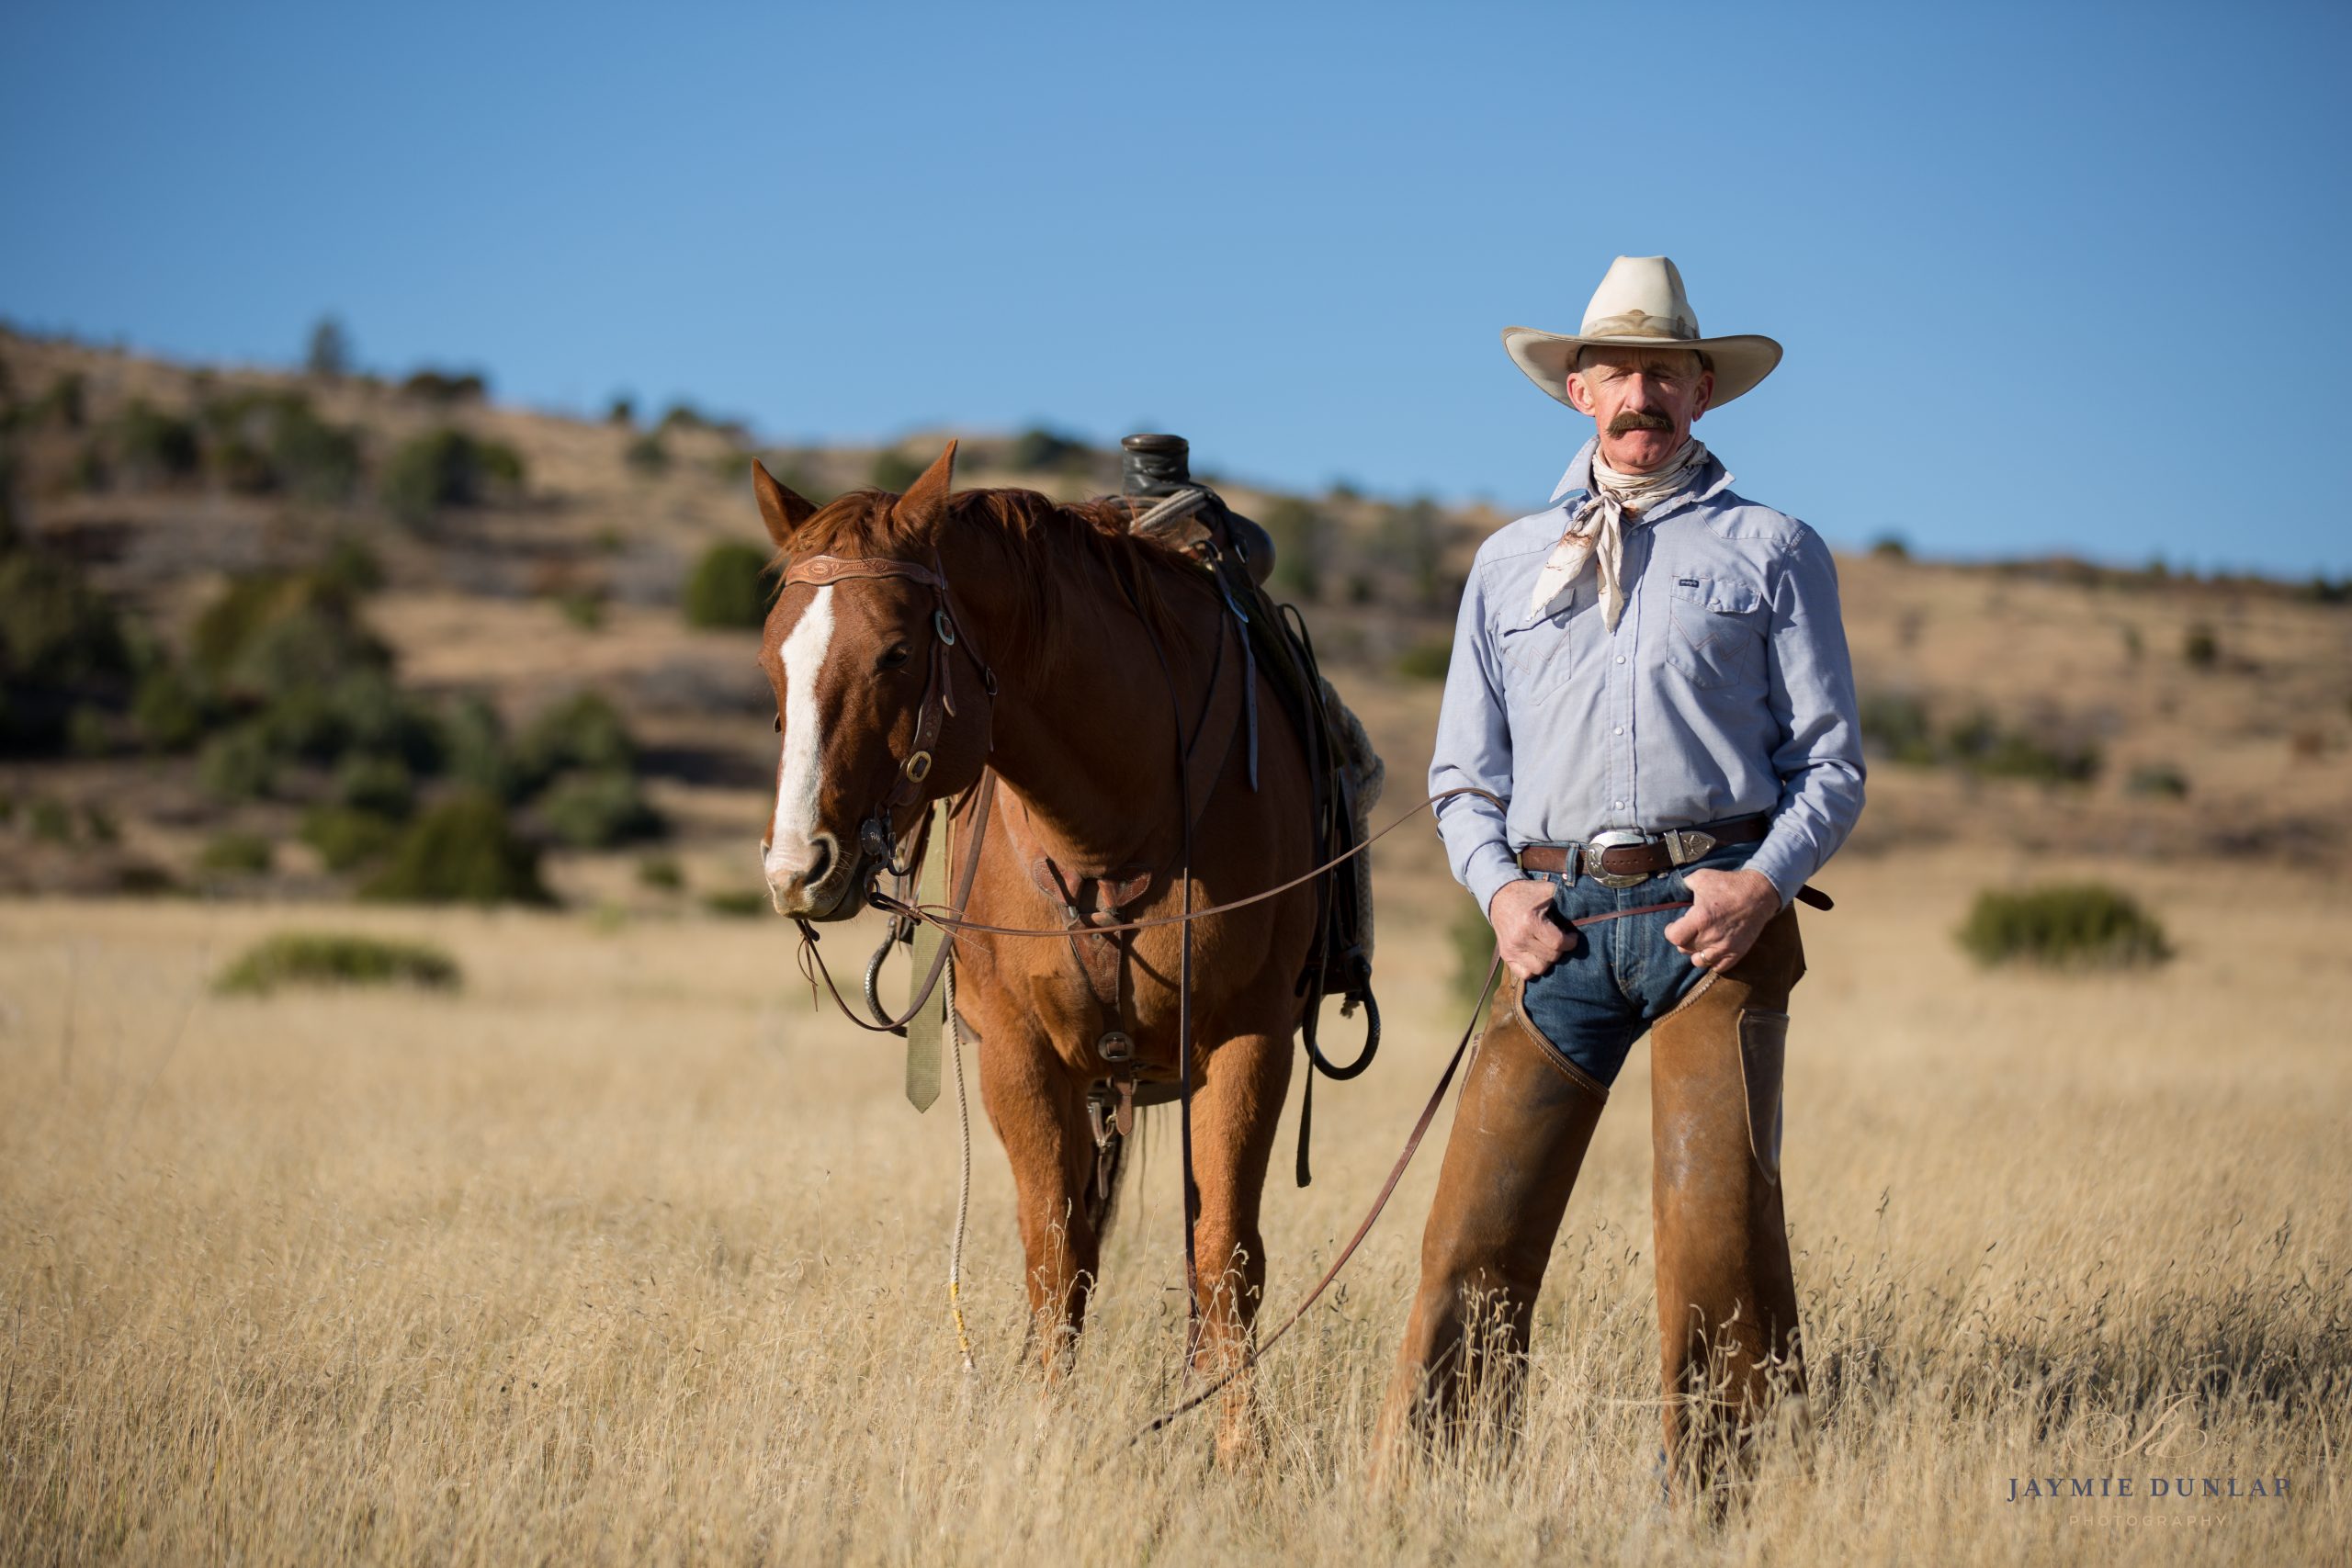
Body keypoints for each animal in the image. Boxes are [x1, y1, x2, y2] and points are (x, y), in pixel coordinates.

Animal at [762, 442, 1336, 1457]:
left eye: (898, 651)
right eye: (770, 661)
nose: (797, 866)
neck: (1114, 824)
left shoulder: (1249, 1041)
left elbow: (1226, 1258)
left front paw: (1242, 1452)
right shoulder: (1021, 1059)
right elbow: (1055, 1257)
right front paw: (1048, 1427)